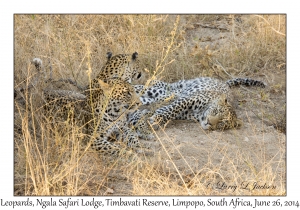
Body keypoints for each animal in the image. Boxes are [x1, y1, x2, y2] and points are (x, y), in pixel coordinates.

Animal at [131, 76, 264, 130]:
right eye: (216, 111)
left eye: (222, 123)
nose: (209, 123)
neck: (200, 114)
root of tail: (224, 83)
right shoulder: (189, 99)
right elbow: (173, 109)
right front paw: (157, 118)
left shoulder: (183, 114)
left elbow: (167, 110)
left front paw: (155, 117)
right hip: (179, 86)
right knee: (155, 87)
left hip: (167, 93)